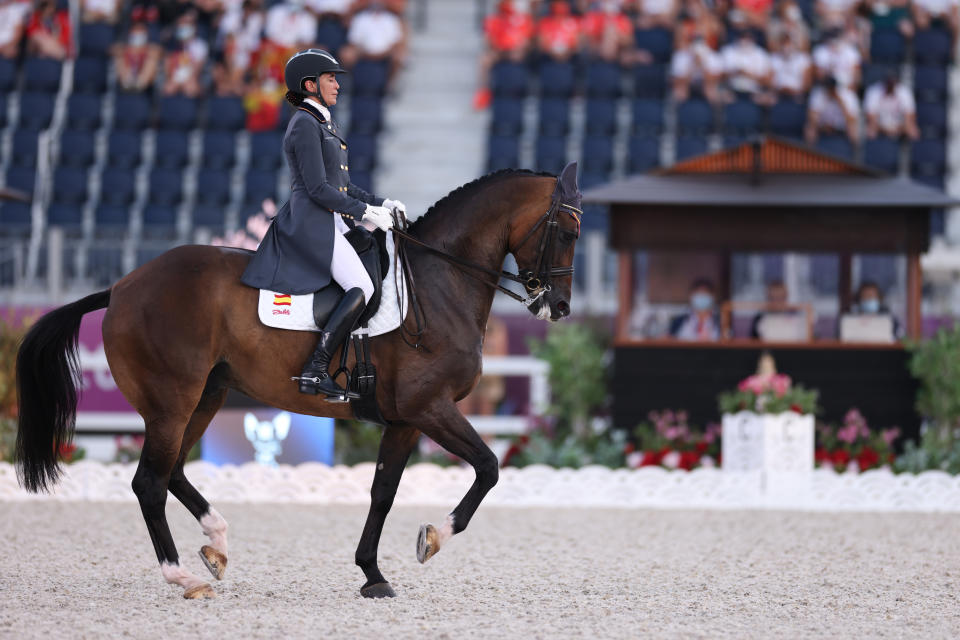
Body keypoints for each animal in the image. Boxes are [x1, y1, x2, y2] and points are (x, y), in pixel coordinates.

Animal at [15, 164, 580, 600]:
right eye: (568, 232)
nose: (558, 307)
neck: (439, 282)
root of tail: (123, 285)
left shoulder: (404, 419)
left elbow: (382, 492)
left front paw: (373, 574)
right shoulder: (430, 408)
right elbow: (488, 467)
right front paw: (433, 538)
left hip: (204, 396)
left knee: (171, 471)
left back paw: (216, 545)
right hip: (171, 401)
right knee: (149, 483)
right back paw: (184, 578)